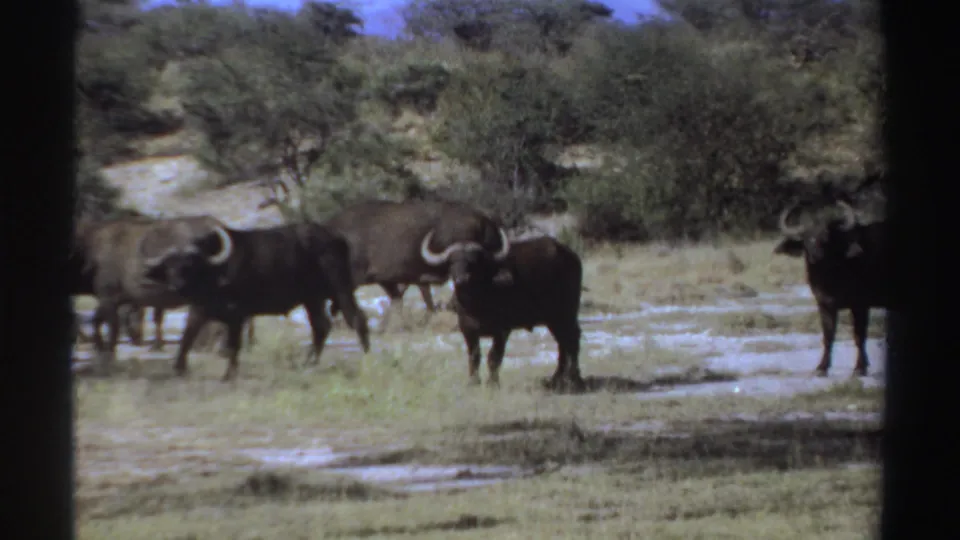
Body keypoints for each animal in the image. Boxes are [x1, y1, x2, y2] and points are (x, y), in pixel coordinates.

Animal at [142, 221, 371, 382]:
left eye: (189, 264)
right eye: (169, 266)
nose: (177, 286)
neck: (216, 273)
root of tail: (337, 237)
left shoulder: (236, 315)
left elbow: (233, 345)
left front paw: (229, 374)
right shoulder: (199, 310)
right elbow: (187, 337)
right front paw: (178, 368)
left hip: (340, 289)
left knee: (356, 318)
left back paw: (365, 355)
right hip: (312, 298)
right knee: (321, 326)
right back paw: (308, 362)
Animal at [449, 235, 586, 392]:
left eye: (474, 262)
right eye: (452, 263)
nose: (462, 279)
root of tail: (571, 256)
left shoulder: (502, 330)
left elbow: (494, 356)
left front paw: (492, 383)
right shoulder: (467, 329)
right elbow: (474, 356)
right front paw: (473, 382)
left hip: (565, 314)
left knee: (572, 339)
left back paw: (573, 379)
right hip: (554, 319)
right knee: (563, 343)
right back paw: (557, 378)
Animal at [773, 198, 890, 377]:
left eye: (827, 236)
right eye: (807, 237)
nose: (816, 255)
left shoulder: (860, 305)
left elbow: (859, 335)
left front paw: (860, 367)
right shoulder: (825, 305)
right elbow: (828, 336)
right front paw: (822, 367)